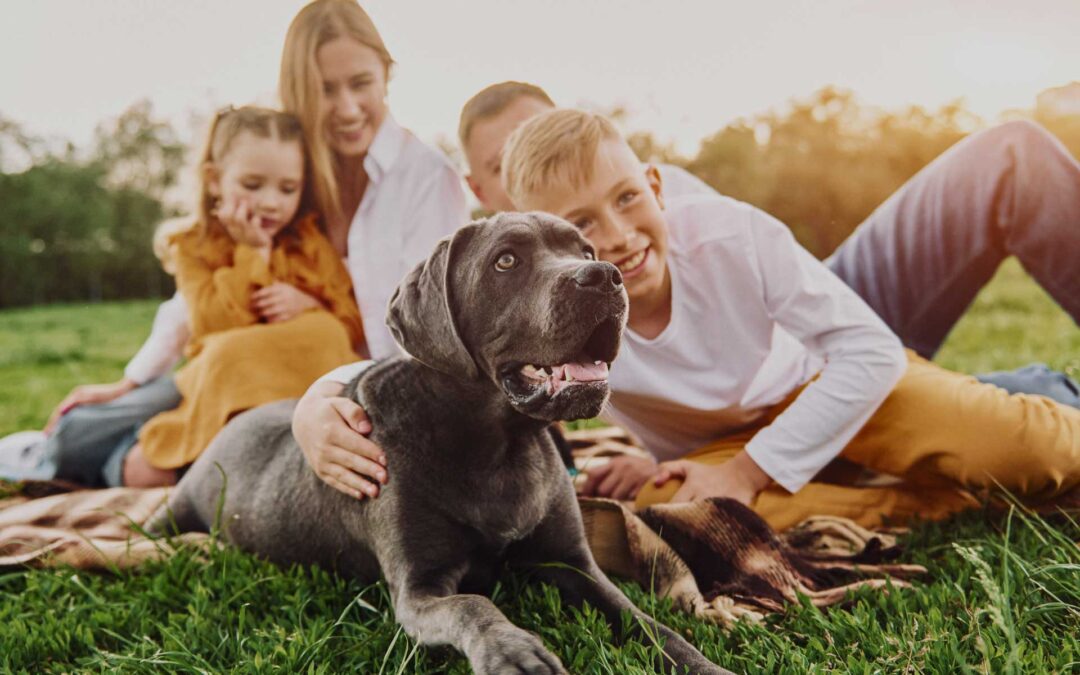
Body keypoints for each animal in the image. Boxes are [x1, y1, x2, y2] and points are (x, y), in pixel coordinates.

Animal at [145, 211, 734, 673]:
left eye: (584, 250)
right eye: (505, 261)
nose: (605, 276)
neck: (498, 448)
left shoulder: (574, 564)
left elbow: (648, 623)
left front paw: (703, 662)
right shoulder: (419, 588)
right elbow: (472, 604)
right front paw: (515, 651)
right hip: (174, 511)